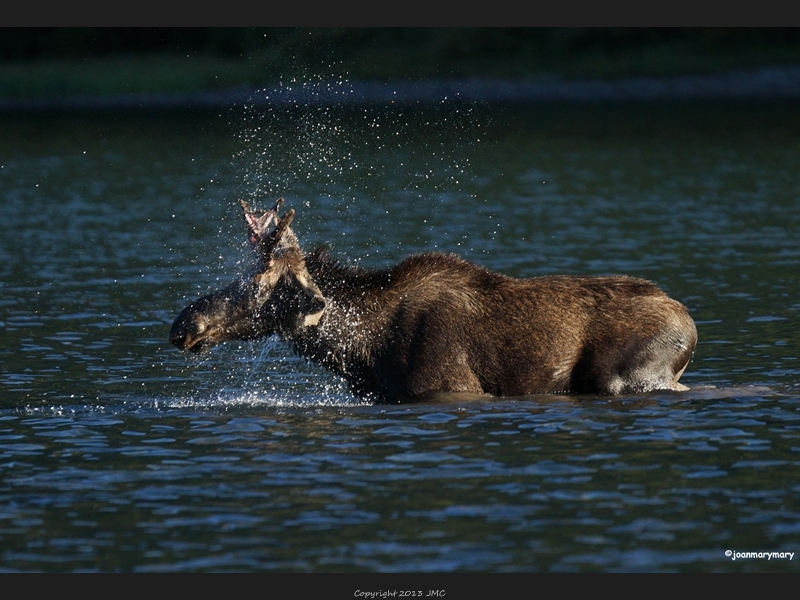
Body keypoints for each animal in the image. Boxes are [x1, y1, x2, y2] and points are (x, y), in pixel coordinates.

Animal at [172, 202, 696, 404]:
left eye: (256, 283)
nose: (183, 323)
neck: (364, 351)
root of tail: (689, 322)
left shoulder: (451, 384)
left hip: (630, 375)